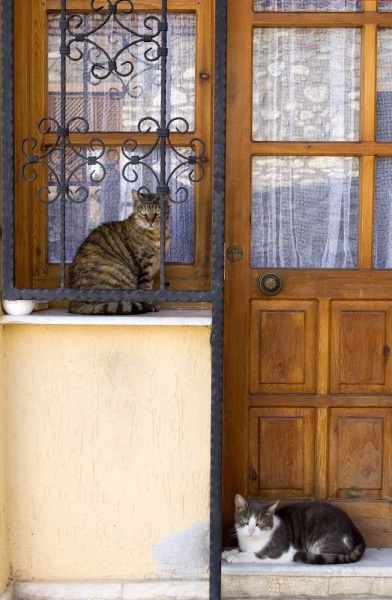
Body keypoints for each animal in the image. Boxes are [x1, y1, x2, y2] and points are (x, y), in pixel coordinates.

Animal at [222, 494, 366, 564]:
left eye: (260, 522)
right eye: (245, 521)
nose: (251, 531)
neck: (249, 543)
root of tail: (354, 528)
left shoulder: (280, 552)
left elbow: (254, 555)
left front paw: (236, 556)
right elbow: (240, 549)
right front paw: (229, 552)